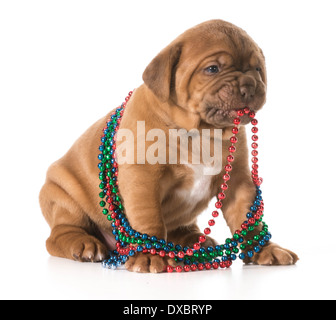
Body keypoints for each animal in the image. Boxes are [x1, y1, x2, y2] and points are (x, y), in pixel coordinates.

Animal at [40, 18, 300, 272]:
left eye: (257, 69)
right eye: (212, 69)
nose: (249, 85)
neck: (202, 131)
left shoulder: (238, 181)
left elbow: (248, 220)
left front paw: (264, 249)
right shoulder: (142, 177)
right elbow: (149, 218)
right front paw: (149, 255)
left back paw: (196, 241)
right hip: (62, 196)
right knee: (59, 234)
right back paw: (84, 244)